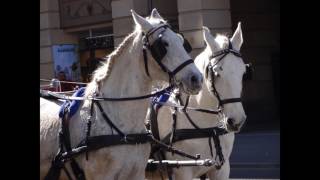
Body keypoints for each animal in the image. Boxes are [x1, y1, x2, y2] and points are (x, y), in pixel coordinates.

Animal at [148, 22, 248, 180]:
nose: (236, 121)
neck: (206, 127)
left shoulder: (222, 168)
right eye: (216, 73)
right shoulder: (183, 171)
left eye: (243, 73)